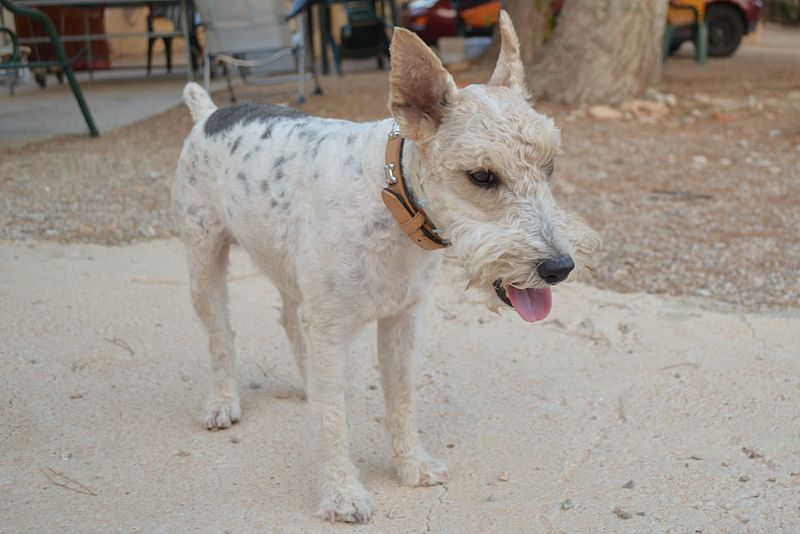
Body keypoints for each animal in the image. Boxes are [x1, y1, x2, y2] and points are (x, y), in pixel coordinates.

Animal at [173, 11, 600, 524]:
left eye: (550, 165)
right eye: (481, 175)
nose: (559, 266)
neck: (392, 199)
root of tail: (208, 113)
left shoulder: (402, 319)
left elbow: (400, 398)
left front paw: (412, 467)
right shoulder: (330, 327)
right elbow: (334, 421)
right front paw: (342, 495)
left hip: (289, 272)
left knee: (290, 322)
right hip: (204, 259)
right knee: (220, 336)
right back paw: (222, 403)